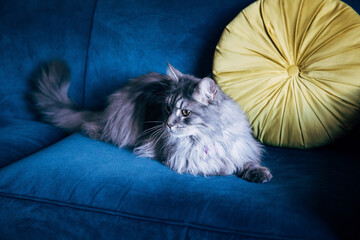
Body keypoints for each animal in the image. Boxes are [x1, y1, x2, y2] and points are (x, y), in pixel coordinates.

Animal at [31, 61, 272, 183]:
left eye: (185, 112)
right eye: (167, 109)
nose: (168, 124)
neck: (207, 137)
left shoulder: (239, 147)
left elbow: (246, 161)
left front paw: (259, 173)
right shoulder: (184, 160)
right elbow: (220, 166)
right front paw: (228, 169)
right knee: (91, 128)